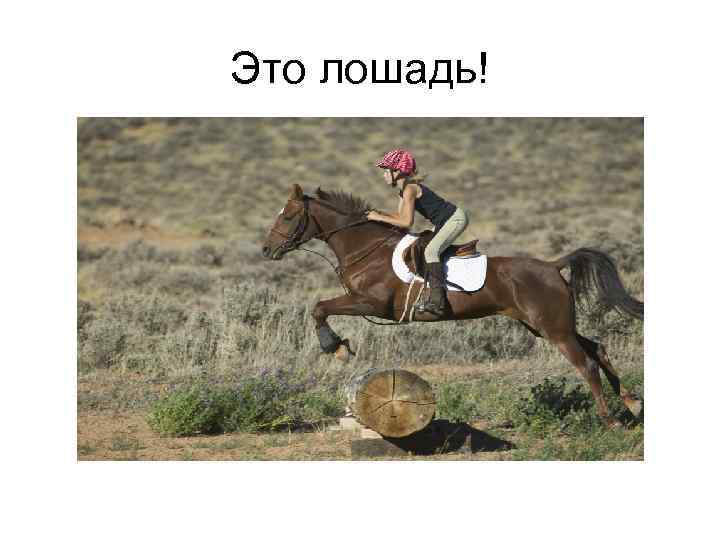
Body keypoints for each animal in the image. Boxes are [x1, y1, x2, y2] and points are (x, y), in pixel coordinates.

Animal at [262, 184, 644, 426]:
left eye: (287, 216)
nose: (266, 250)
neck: (366, 249)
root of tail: (552, 266)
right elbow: (320, 307)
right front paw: (339, 346)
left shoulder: (370, 302)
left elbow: (320, 307)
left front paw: (335, 347)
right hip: (547, 326)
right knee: (598, 348)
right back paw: (632, 404)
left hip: (554, 329)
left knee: (587, 364)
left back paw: (610, 420)